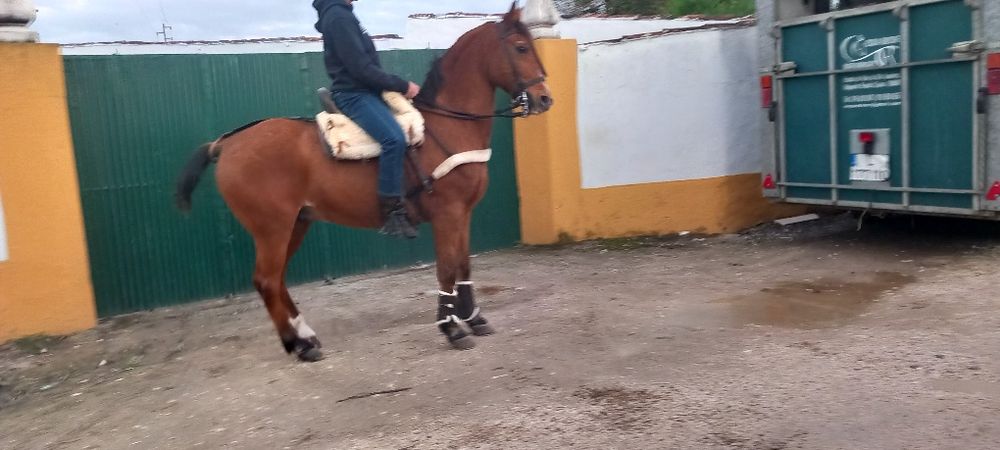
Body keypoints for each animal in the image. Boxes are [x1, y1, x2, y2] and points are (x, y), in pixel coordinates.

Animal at [174, 5, 553, 362]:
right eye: (520, 47)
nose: (545, 98)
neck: (447, 126)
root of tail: (225, 143)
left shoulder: (463, 214)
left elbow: (463, 263)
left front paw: (474, 318)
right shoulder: (448, 213)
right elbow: (447, 267)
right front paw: (452, 329)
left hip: (295, 223)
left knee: (276, 280)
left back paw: (305, 338)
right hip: (273, 228)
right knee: (267, 280)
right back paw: (300, 345)